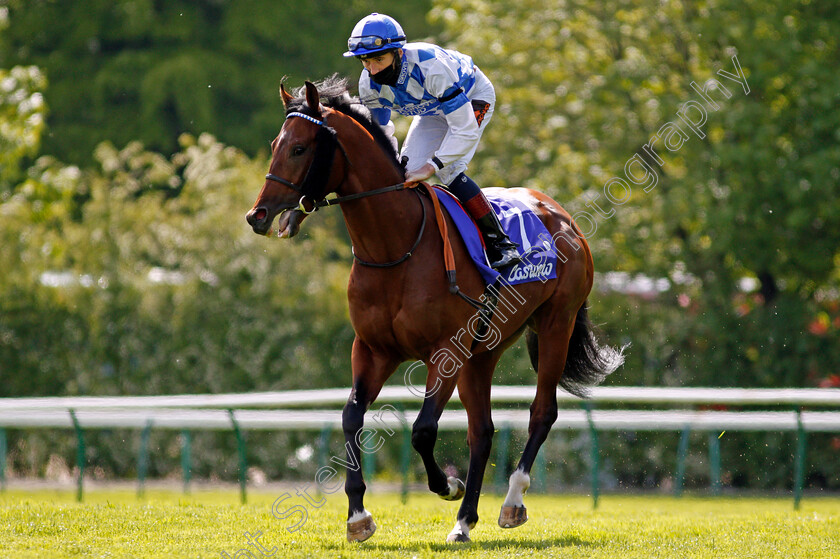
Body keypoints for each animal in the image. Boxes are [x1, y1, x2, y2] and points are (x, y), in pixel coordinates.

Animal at [244, 76, 624, 544]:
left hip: (556, 324)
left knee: (541, 413)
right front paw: (358, 516)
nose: (258, 214)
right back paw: (464, 521)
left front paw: (447, 485)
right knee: (483, 431)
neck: (396, 247)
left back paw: (511, 501)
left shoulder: (445, 352)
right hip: (484, 351)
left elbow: (423, 430)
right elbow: (351, 417)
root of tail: (562, 215)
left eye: (299, 148)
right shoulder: (372, 349)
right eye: (275, 144)